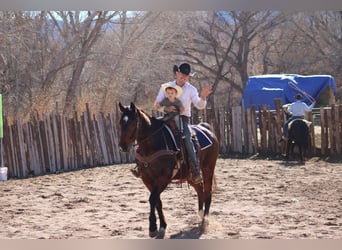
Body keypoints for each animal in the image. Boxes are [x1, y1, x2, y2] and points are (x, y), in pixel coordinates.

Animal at [117, 102, 219, 238]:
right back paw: (200, 216)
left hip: (208, 168)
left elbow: (152, 199)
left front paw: (153, 227)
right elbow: (157, 201)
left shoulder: (163, 178)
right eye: (120, 123)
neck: (151, 145)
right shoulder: (147, 179)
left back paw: (204, 222)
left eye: (133, 122)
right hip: (190, 175)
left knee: (207, 192)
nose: (122, 146)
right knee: (200, 190)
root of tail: (206, 129)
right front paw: (162, 226)